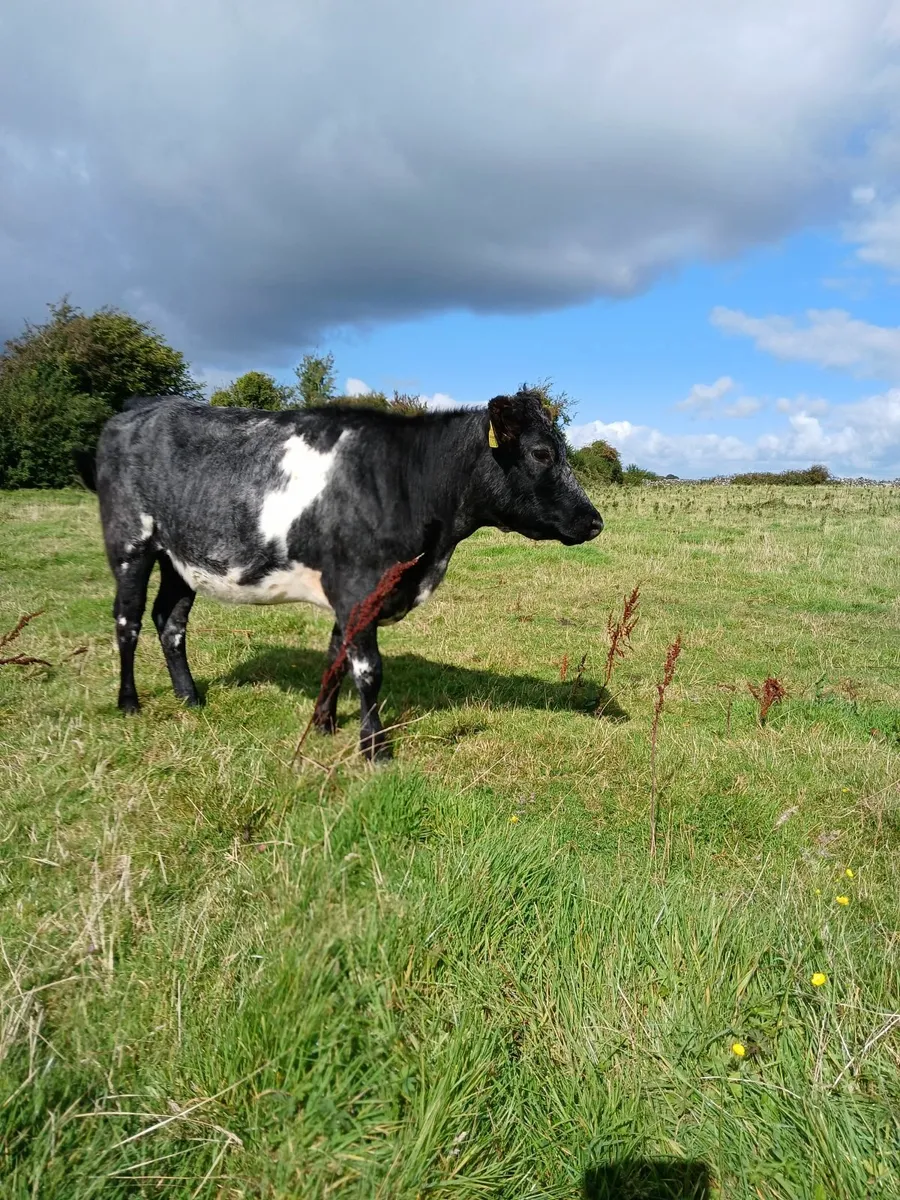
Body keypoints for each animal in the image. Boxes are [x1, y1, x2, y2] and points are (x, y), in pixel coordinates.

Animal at [75, 388, 603, 760]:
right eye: (541, 453)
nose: (595, 520)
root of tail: (141, 408)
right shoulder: (357, 585)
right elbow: (368, 669)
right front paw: (374, 748)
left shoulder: (349, 593)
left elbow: (336, 655)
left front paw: (325, 724)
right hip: (130, 544)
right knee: (128, 621)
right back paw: (129, 703)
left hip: (182, 559)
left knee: (171, 622)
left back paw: (190, 697)